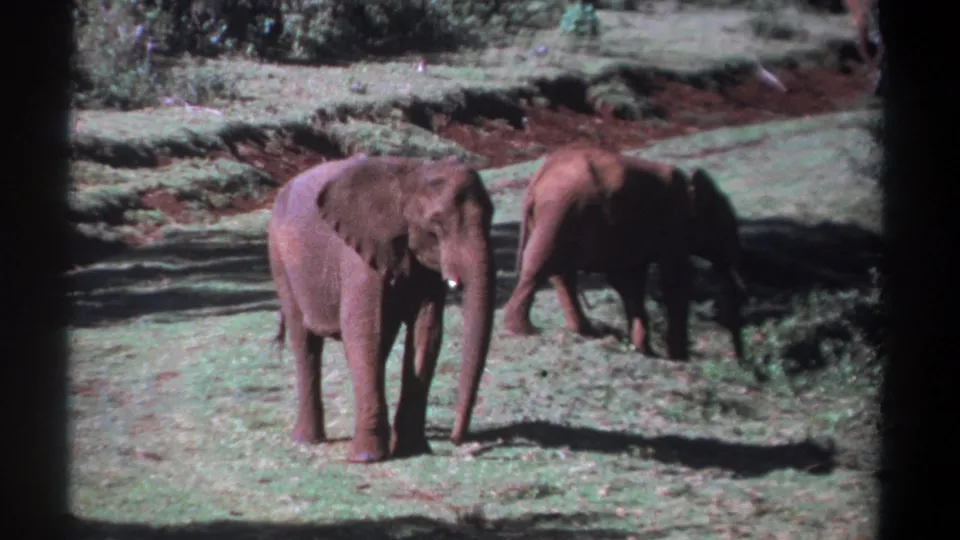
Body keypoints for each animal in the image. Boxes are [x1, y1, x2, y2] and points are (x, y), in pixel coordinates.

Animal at [267, 153, 496, 463]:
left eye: (491, 216)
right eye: (436, 223)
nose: (456, 439)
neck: (412, 175)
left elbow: (427, 331)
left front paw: (413, 449)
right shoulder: (357, 255)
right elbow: (363, 329)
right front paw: (366, 459)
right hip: (279, 259)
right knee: (305, 341)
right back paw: (307, 440)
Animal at [501, 144, 747, 366]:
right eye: (727, 226)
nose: (739, 361)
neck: (689, 186)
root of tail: (536, 182)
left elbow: (629, 284)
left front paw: (644, 351)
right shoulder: (671, 225)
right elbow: (674, 281)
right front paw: (677, 358)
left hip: (556, 215)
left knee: (559, 274)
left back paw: (586, 332)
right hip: (559, 211)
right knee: (541, 265)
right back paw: (524, 330)